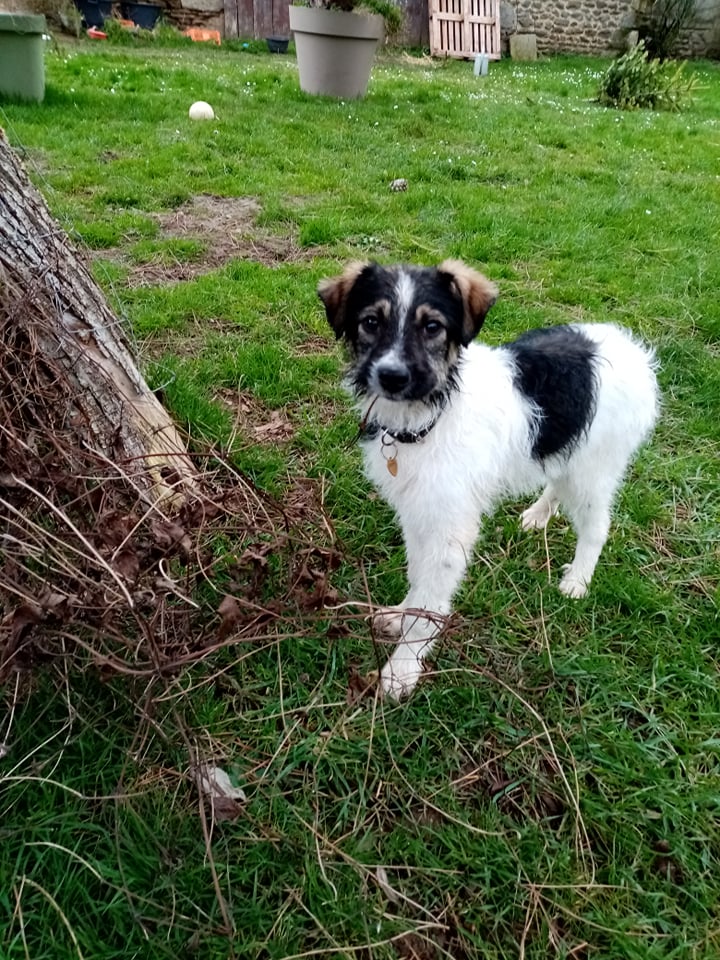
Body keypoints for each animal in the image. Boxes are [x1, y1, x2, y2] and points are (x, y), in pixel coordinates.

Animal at [318, 260, 660, 696]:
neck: (433, 413)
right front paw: (399, 615)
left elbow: (430, 600)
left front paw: (402, 669)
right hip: (565, 449)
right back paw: (538, 515)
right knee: (556, 478)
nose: (393, 376)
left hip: (594, 469)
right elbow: (417, 576)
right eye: (371, 322)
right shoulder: (419, 512)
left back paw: (578, 581)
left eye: (432, 327)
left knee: (597, 527)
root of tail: (632, 351)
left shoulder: (450, 528)